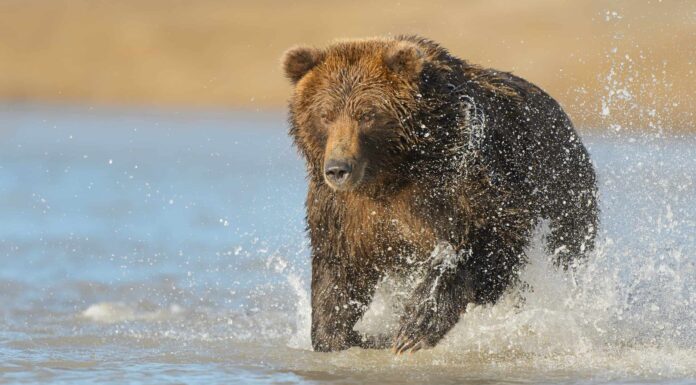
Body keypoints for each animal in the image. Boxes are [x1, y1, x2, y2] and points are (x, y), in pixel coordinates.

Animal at [282, 36, 600, 354]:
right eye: (325, 115)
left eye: (367, 114)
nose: (338, 168)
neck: (392, 173)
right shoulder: (342, 210)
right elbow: (338, 269)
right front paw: (340, 336)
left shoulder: (464, 173)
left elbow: (491, 232)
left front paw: (414, 328)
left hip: (565, 188)